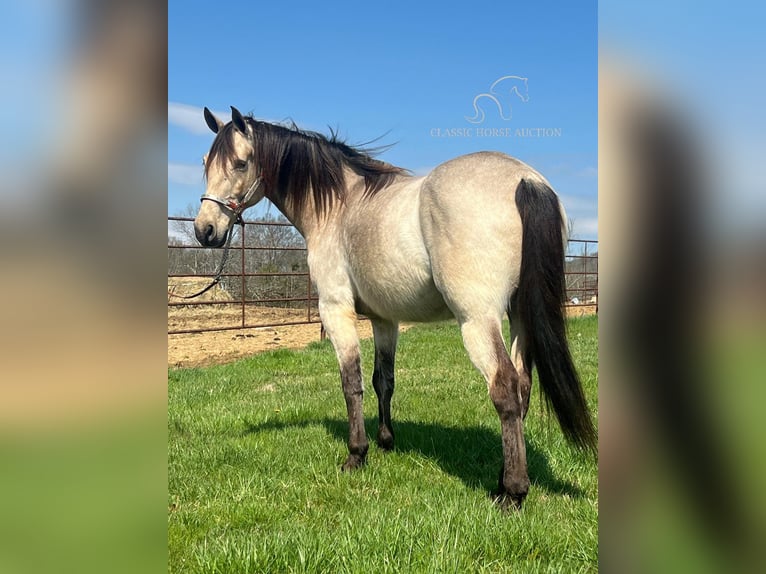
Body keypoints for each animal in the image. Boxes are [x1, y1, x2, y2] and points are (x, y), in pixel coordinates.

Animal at [195, 106, 596, 510]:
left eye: (240, 163)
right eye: (205, 163)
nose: (204, 231)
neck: (339, 206)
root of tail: (525, 179)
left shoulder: (335, 310)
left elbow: (351, 383)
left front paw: (357, 454)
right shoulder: (384, 319)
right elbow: (382, 380)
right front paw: (386, 441)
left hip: (477, 321)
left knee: (505, 388)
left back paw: (512, 492)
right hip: (520, 316)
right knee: (523, 387)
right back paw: (503, 478)